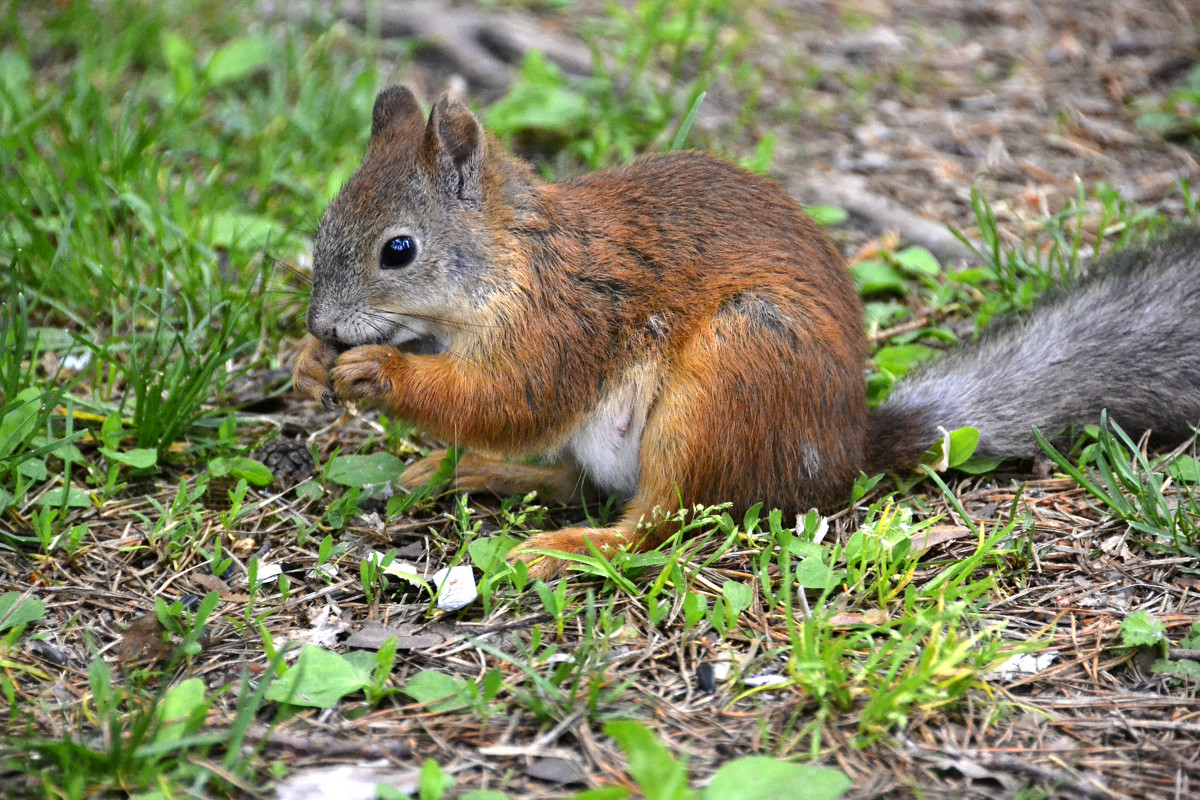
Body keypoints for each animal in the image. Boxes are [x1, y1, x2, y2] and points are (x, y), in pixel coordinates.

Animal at [290, 86, 1200, 582]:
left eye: (398, 250)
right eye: (325, 225)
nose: (323, 325)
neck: (511, 259)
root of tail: (839, 456)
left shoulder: (564, 322)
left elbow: (509, 398)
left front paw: (378, 373)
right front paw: (308, 365)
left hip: (732, 375)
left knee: (659, 521)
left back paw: (570, 546)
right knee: (573, 481)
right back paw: (471, 474)